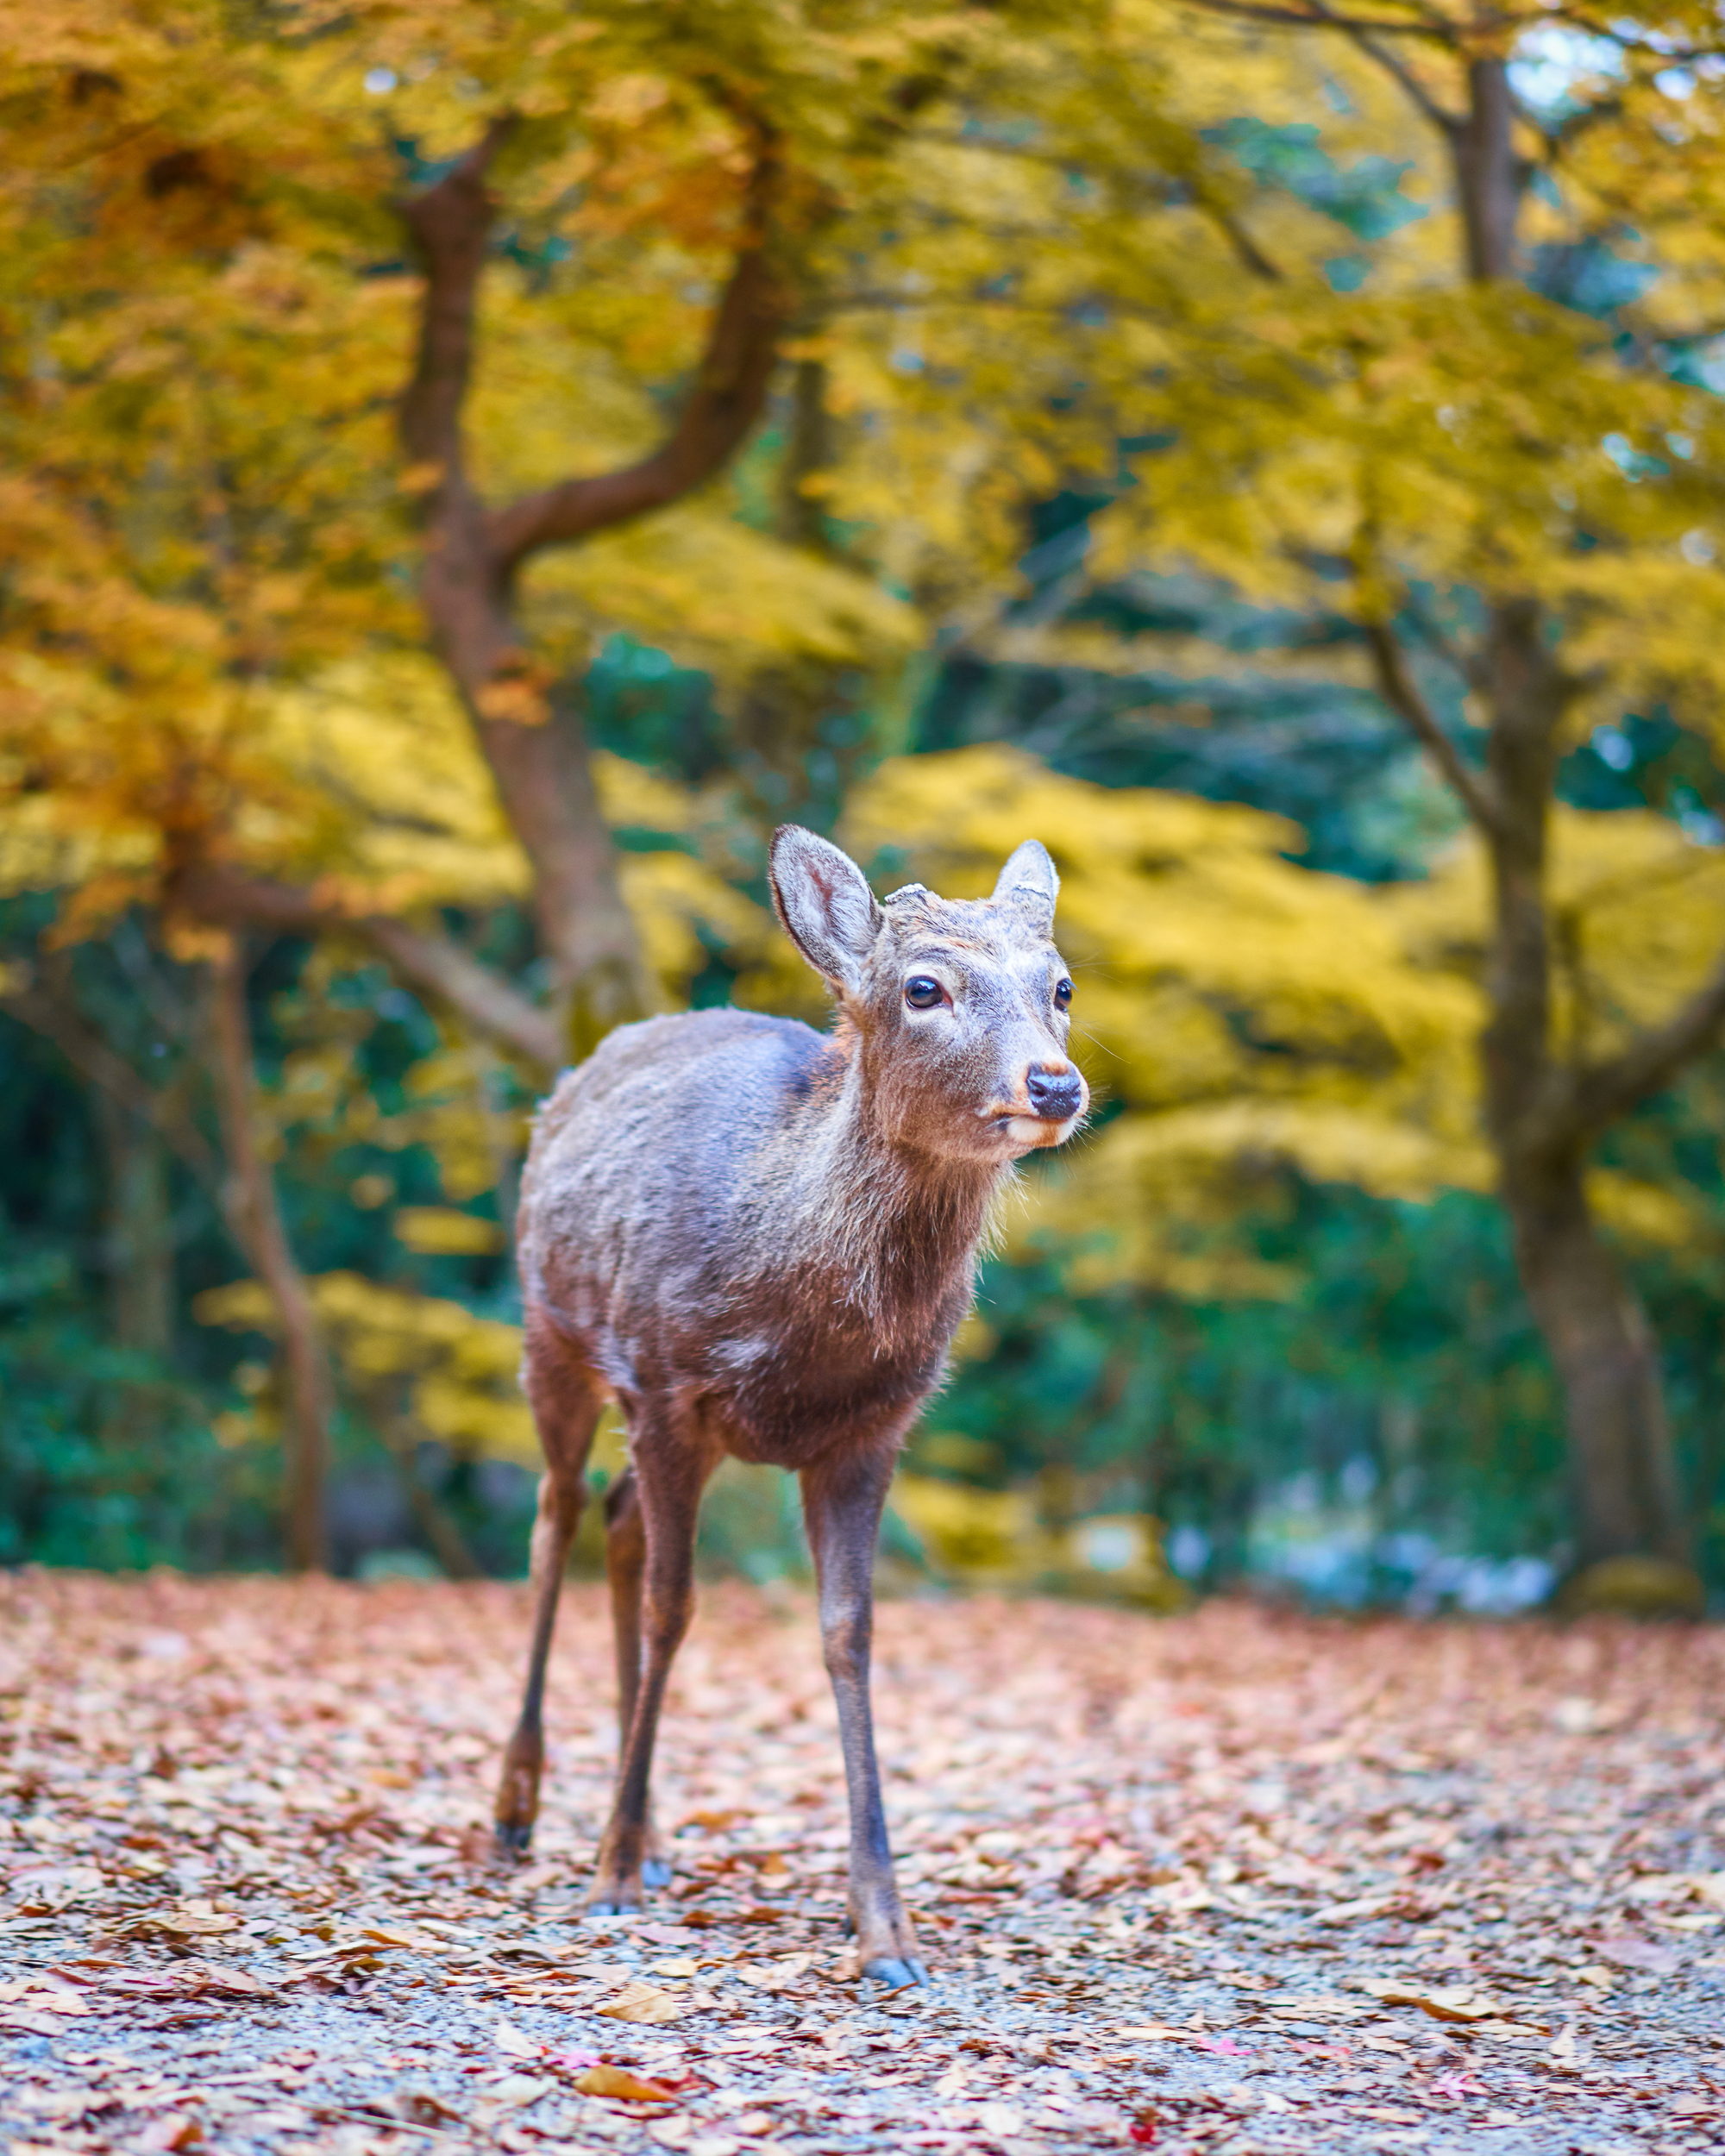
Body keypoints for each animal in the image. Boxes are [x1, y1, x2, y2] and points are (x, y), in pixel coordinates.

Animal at [492, 819, 1087, 1984]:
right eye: (922, 986)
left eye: (1061, 985)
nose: (1053, 1085)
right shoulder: (665, 1380)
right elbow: (674, 1608)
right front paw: (608, 1878)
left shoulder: (871, 1430)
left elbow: (846, 1632)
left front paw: (885, 1927)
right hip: (553, 1330)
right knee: (554, 1516)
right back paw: (521, 1810)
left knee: (616, 1523)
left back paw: (651, 1830)